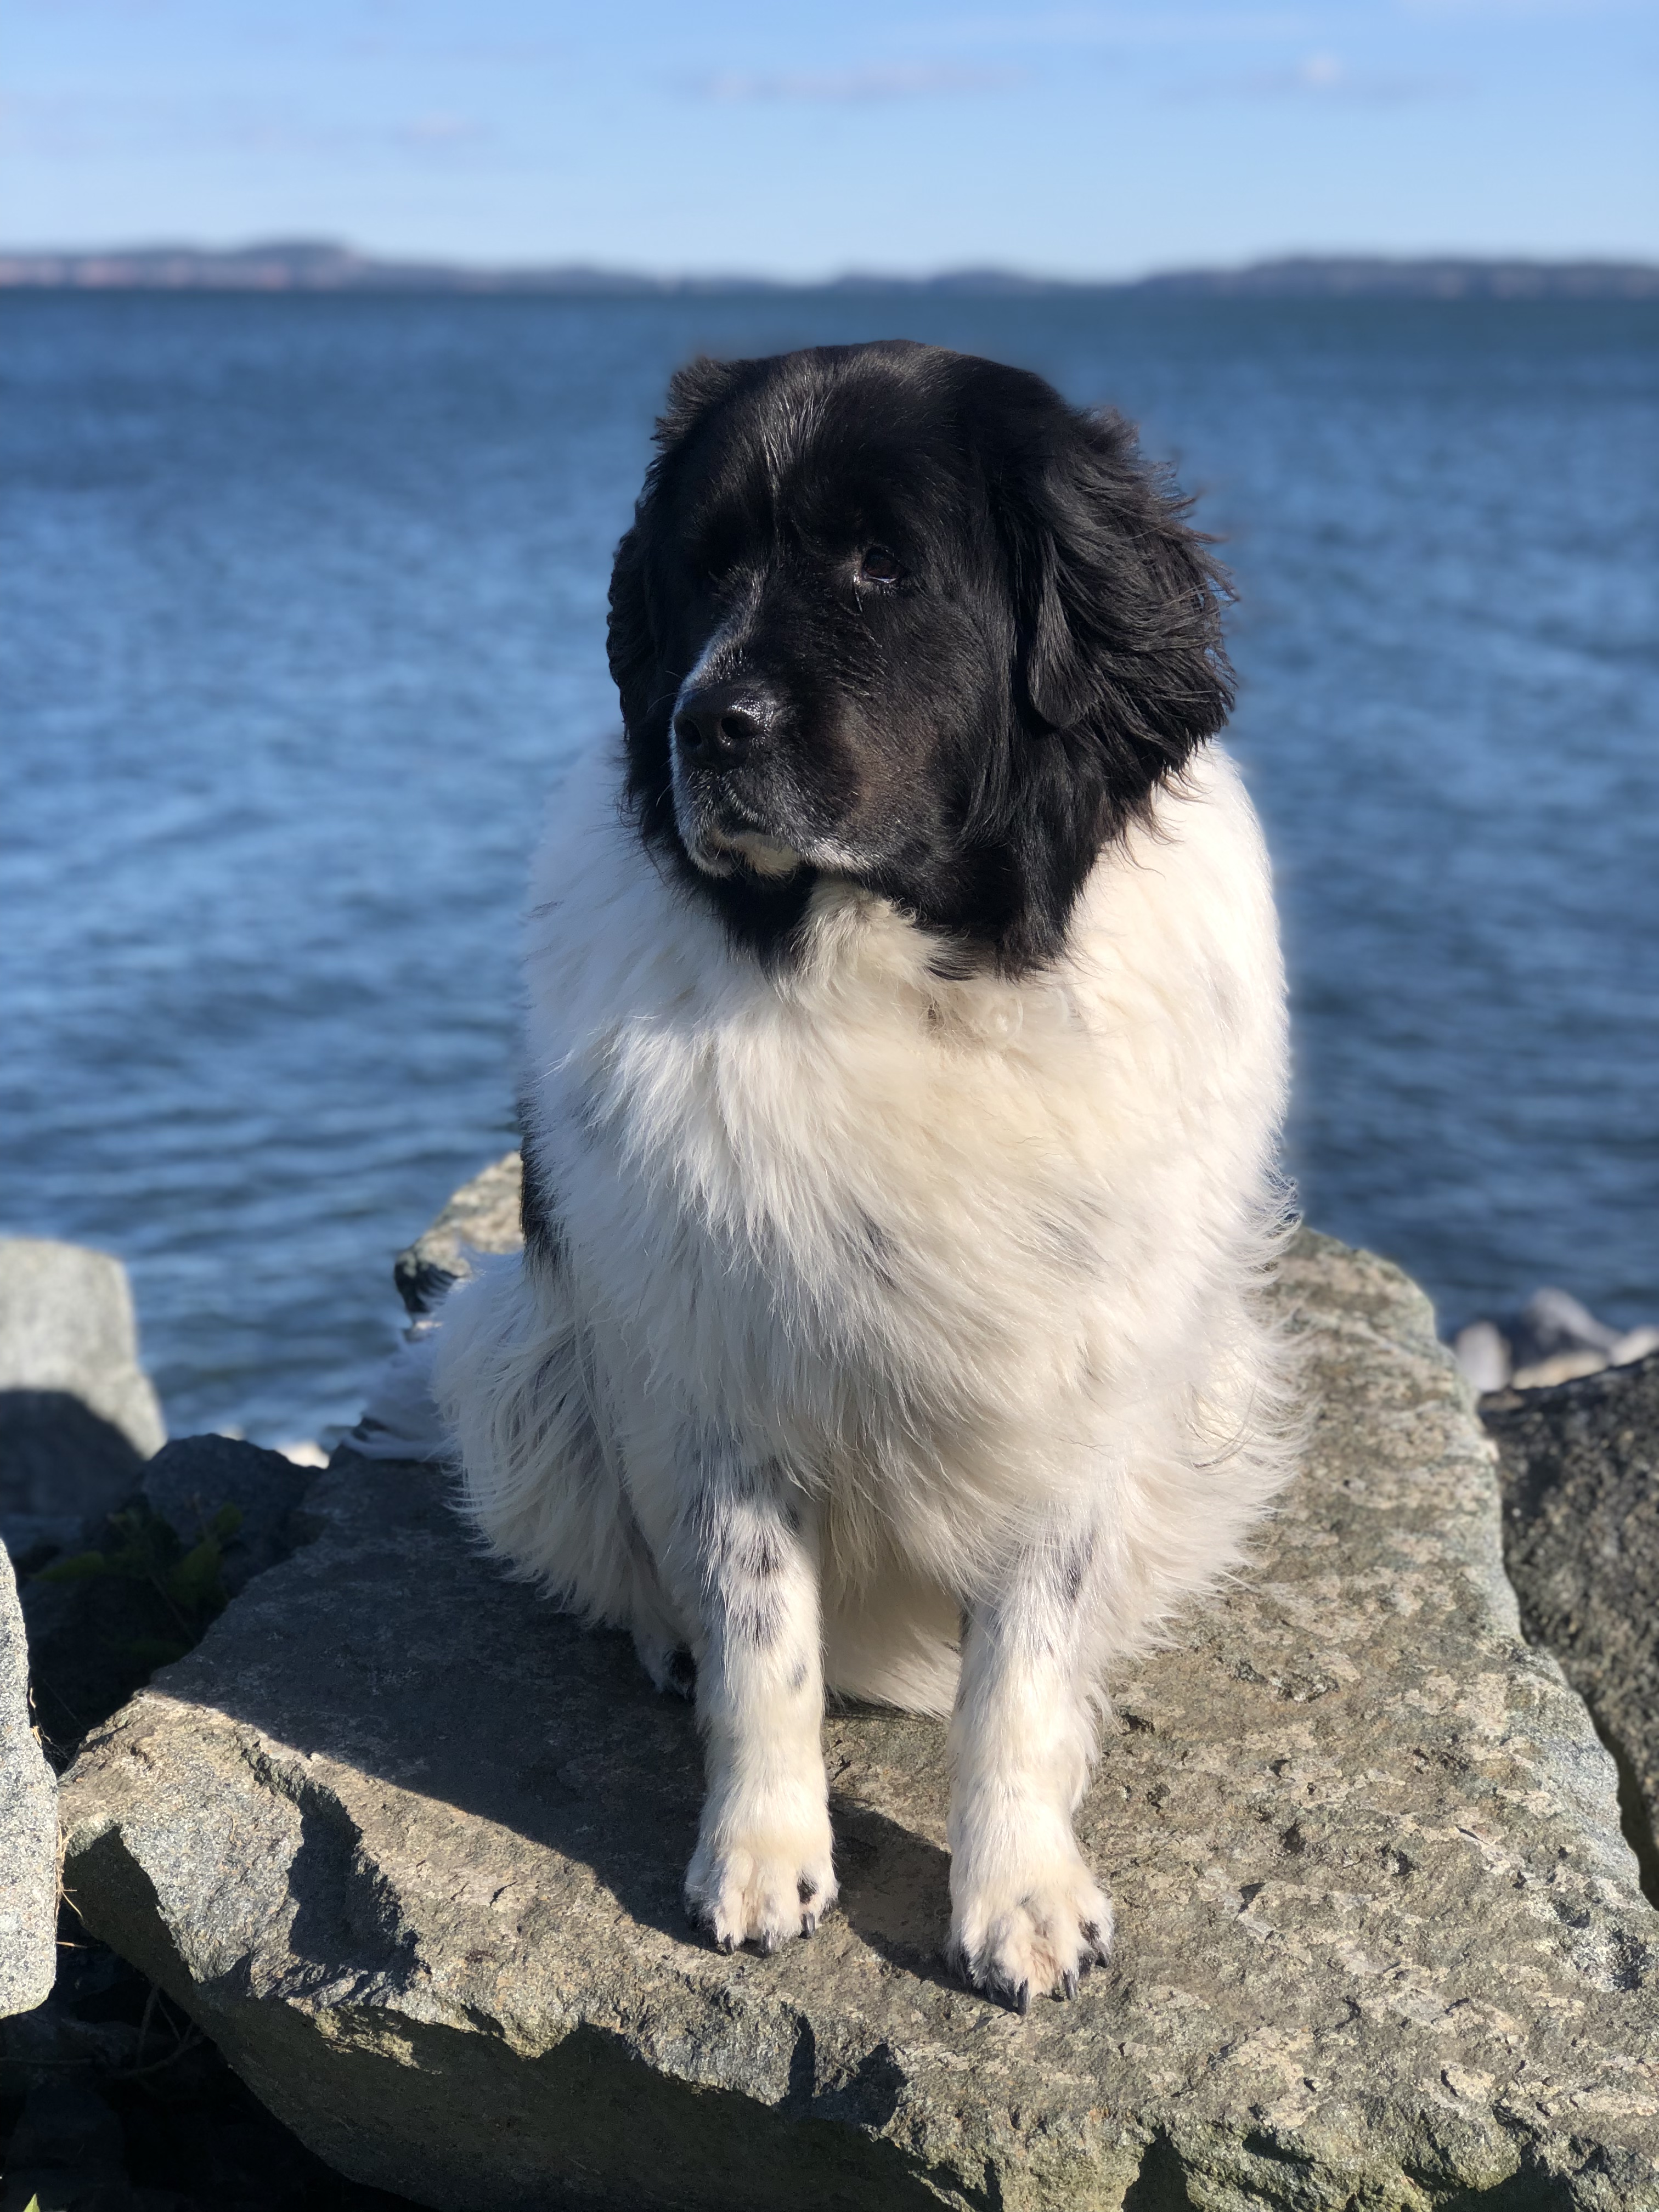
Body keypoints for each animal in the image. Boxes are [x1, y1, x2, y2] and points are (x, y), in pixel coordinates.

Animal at [432, 340, 1293, 2011]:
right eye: (708, 568)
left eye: (884, 568)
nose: (713, 723)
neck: (906, 977)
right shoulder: (716, 1363)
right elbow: (763, 1631)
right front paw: (762, 1858)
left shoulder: (1076, 1387)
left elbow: (1023, 1664)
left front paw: (1021, 1893)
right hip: (518, 1350)